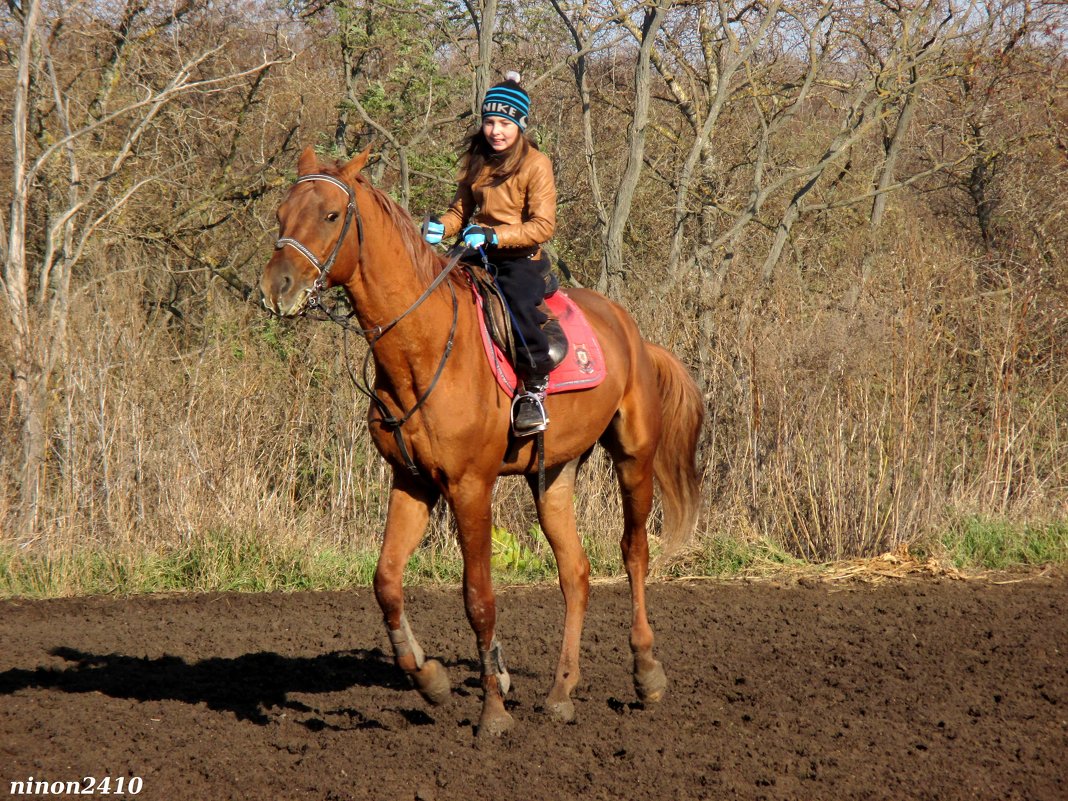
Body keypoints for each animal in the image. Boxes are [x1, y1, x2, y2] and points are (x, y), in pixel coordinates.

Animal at [258, 147, 700, 739]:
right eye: (282, 211)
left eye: (331, 215)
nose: (276, 286)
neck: (423, 346)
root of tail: (633, 333)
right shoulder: (413, 483)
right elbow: (386, 581)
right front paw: (430, 678)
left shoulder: (470, 488)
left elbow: (479, 599)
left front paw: (493, 710)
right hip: (553, 476)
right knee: (576, 573)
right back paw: (561, 692)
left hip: (634, 458)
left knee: (634, 553)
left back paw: (646, 672)